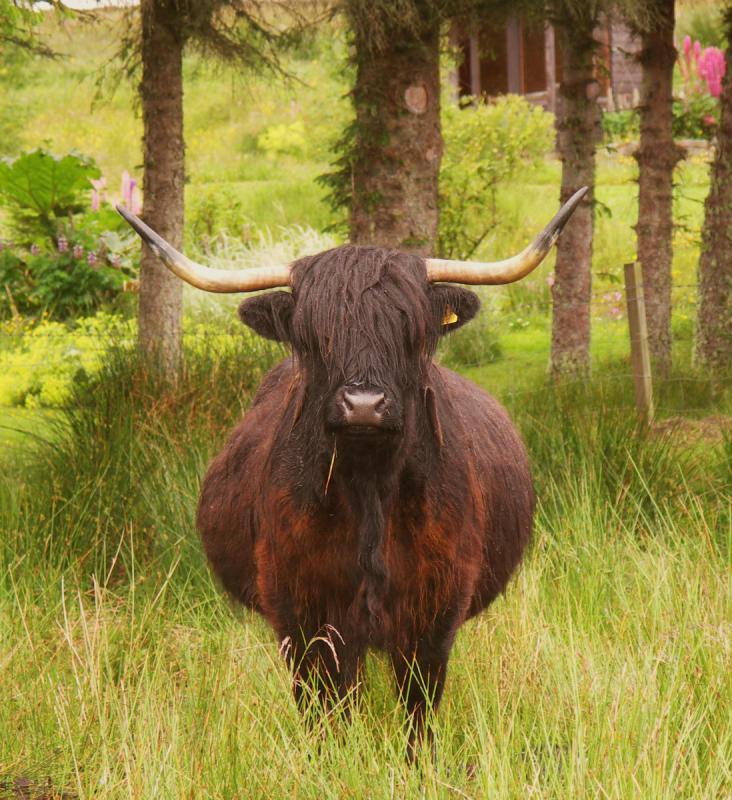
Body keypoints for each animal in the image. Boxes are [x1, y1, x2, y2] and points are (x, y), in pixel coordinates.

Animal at [118, 187, 586, 754]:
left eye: (408, 329)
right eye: (314, 334)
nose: (364, 405)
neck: (370, 488)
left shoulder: (434, 609)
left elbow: (418, 705)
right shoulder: (301, 610)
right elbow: (322, 704)